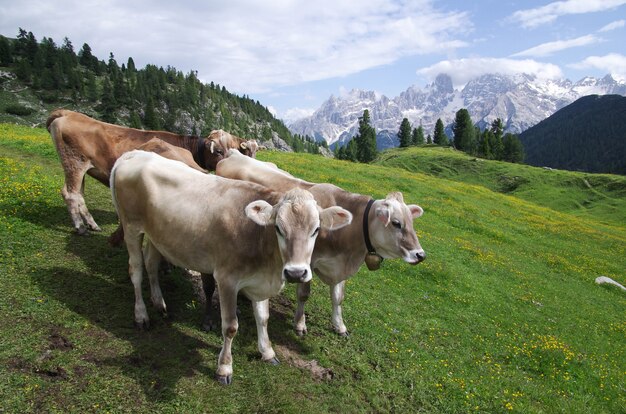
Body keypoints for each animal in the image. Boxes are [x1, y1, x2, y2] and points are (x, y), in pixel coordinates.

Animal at [108, 150, 352, 384]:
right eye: (278, 228)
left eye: (316, 229)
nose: (296, 272)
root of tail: (134, 154)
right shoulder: (227, 279)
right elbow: (230, 326)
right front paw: (224, 368)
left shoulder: (260, 280)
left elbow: (263, 317)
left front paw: (268, 352)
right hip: (131, 227)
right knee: (136, 269)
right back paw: (141, 315)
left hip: (157, 234)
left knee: (151, 263)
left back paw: (160, 303)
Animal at [214, 149, 424, 336]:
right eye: (396, 223)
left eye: (412, 223)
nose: (420, 254)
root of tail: (234, 154)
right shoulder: (308, 261)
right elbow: (304, 294)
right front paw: (300, 324)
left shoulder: (340, 265)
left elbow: (338, 297)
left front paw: (340, 326)